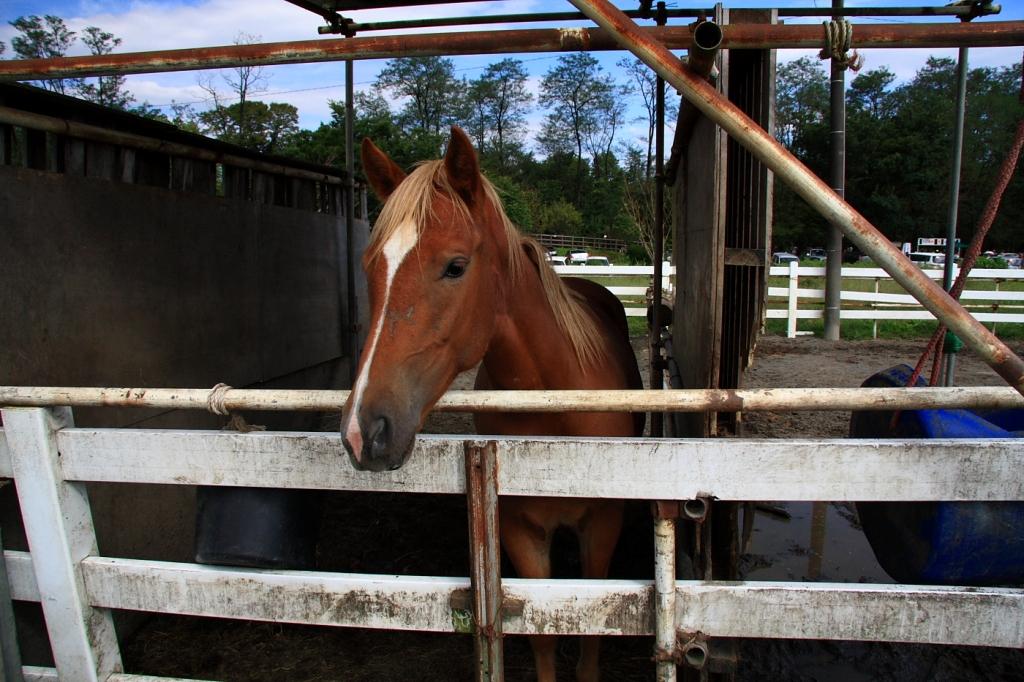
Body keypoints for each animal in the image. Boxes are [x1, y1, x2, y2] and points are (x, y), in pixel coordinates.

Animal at [339, 127, 643, 679]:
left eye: (455, 266)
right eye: (371, 267)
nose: (362, 431)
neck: (555, 410)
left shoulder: (603, 525)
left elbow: (592, 633)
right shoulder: (520, 531)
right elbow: (542, 639)